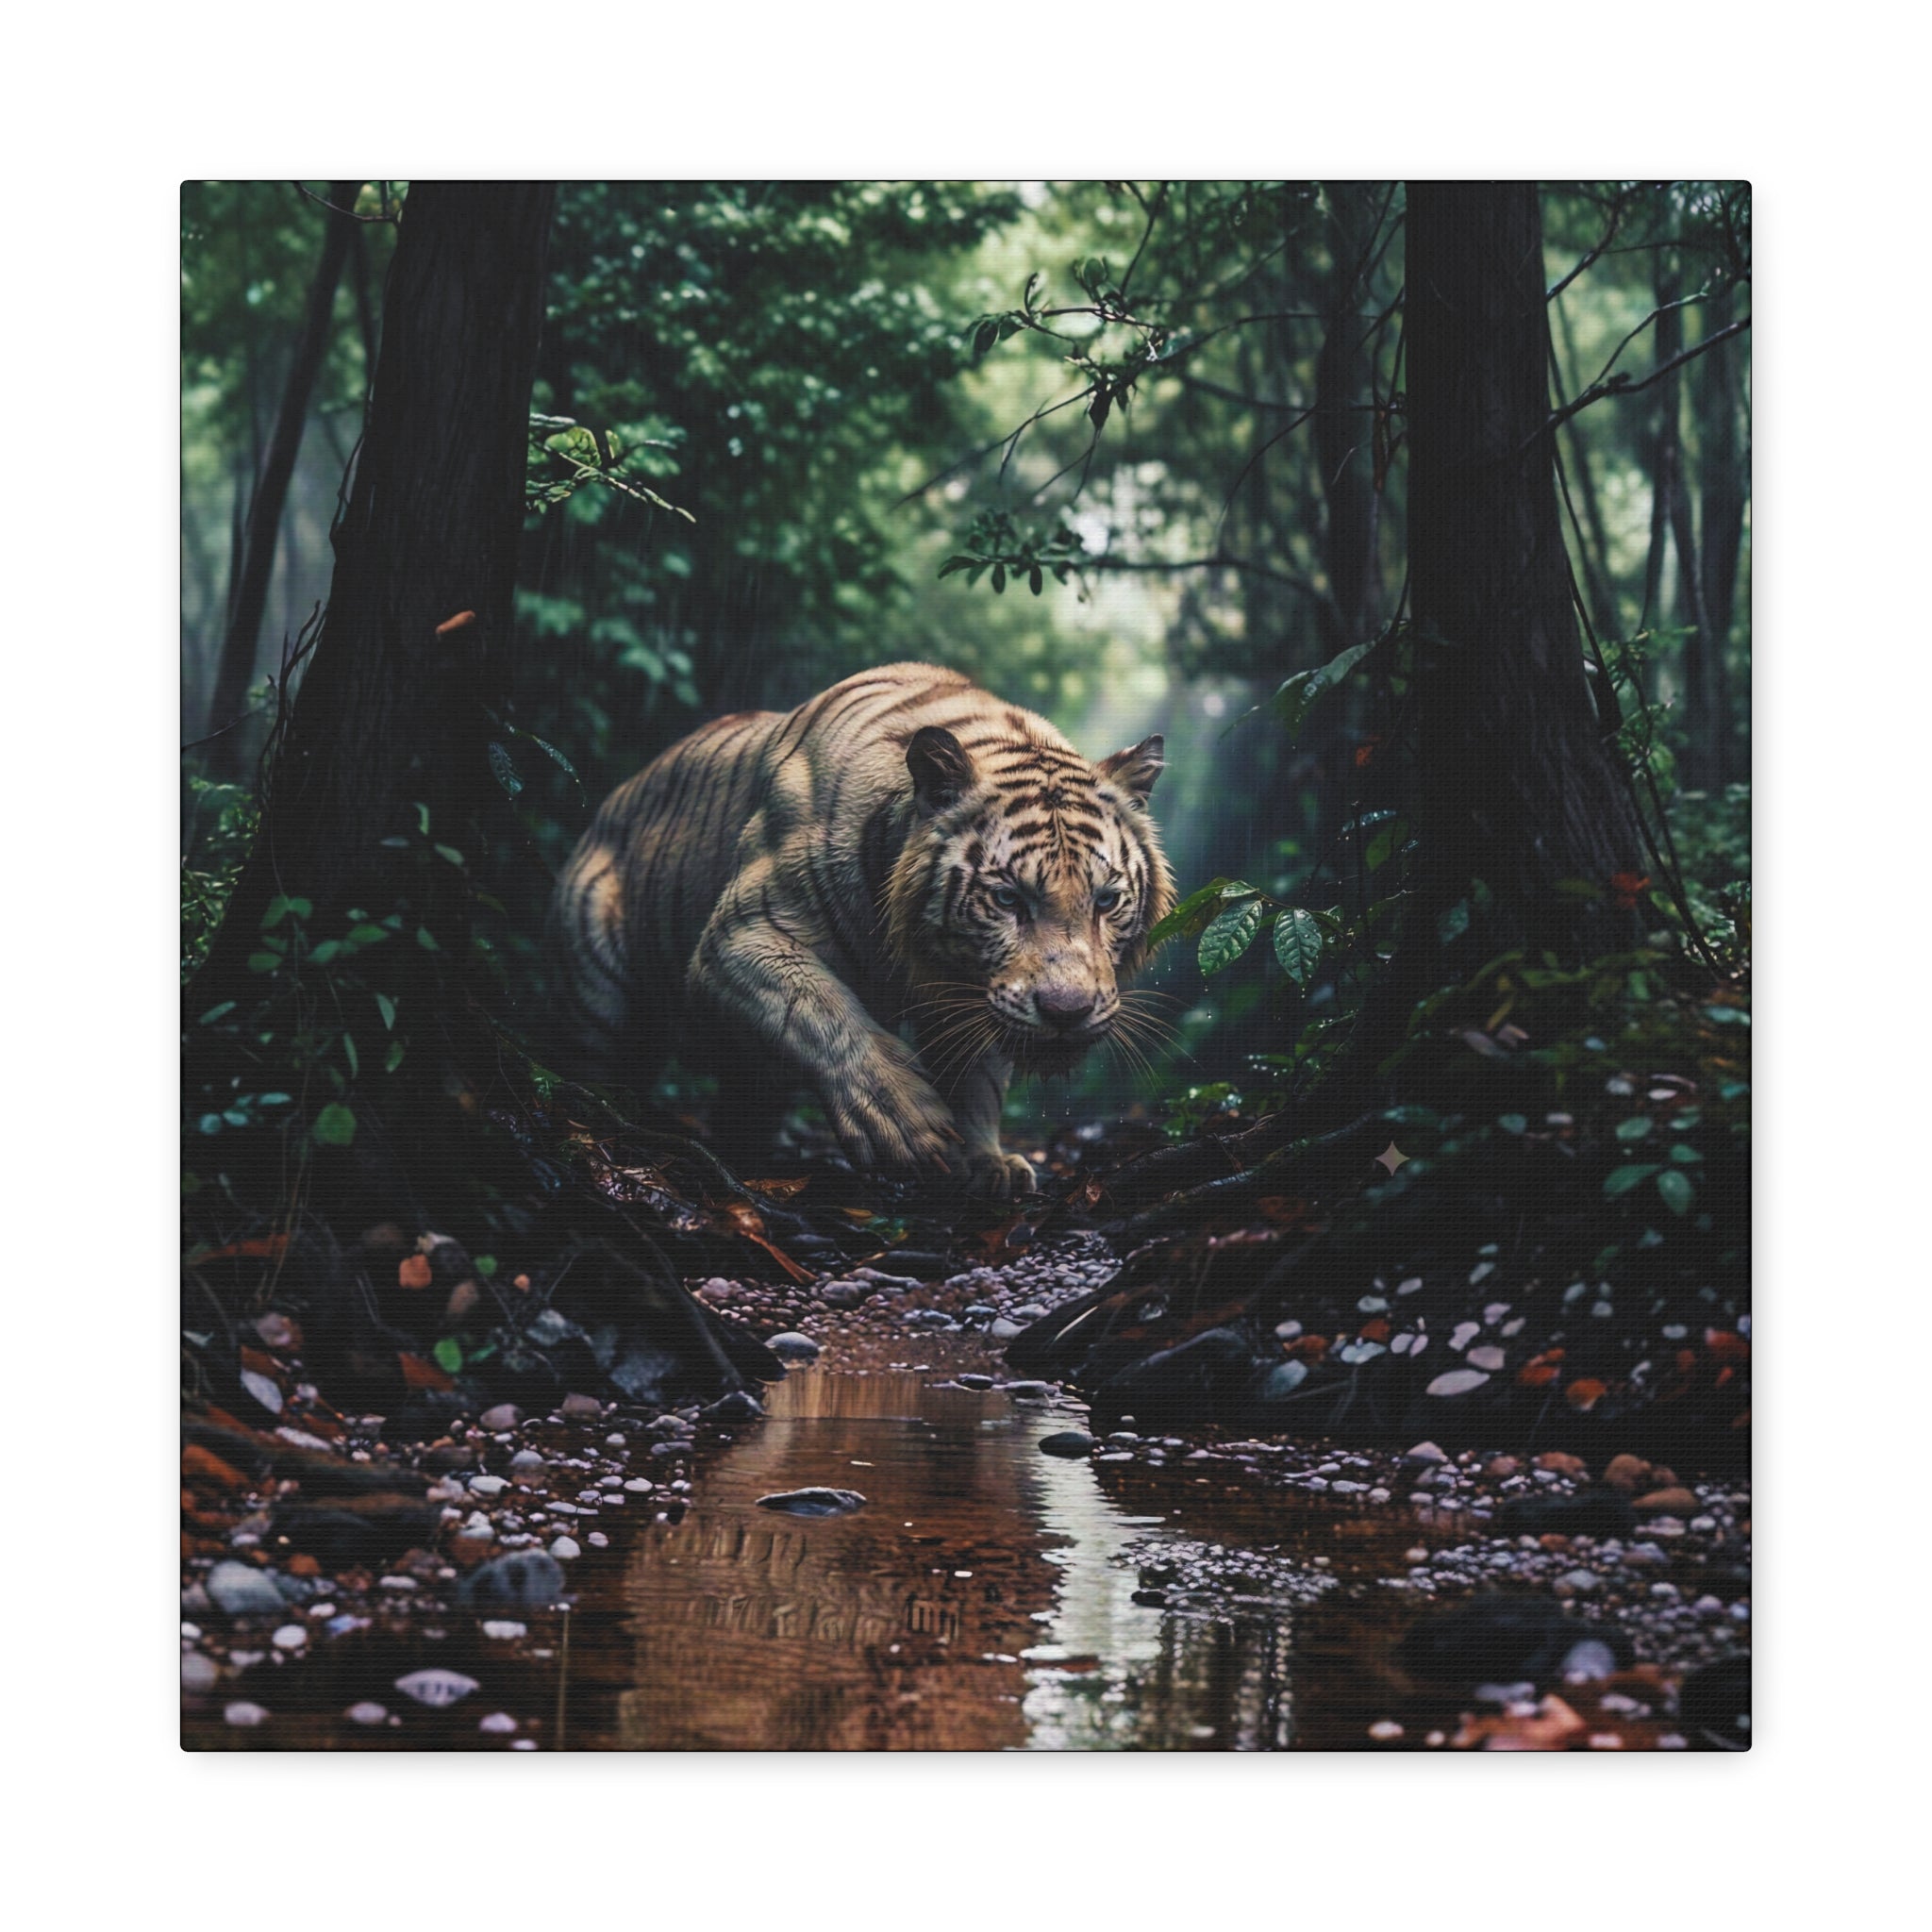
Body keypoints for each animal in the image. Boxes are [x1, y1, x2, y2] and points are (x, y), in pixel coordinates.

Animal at [550, 662, 1174, 1196]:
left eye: (1107, 900)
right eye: (1007, 899)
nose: (1067, 1013)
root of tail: (612, 798)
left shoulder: (979, 996)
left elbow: (979, 1078)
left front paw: (987, 1162)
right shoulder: (741, 936)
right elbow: (819, 1011)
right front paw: (905, 1122)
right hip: (597, 1001)